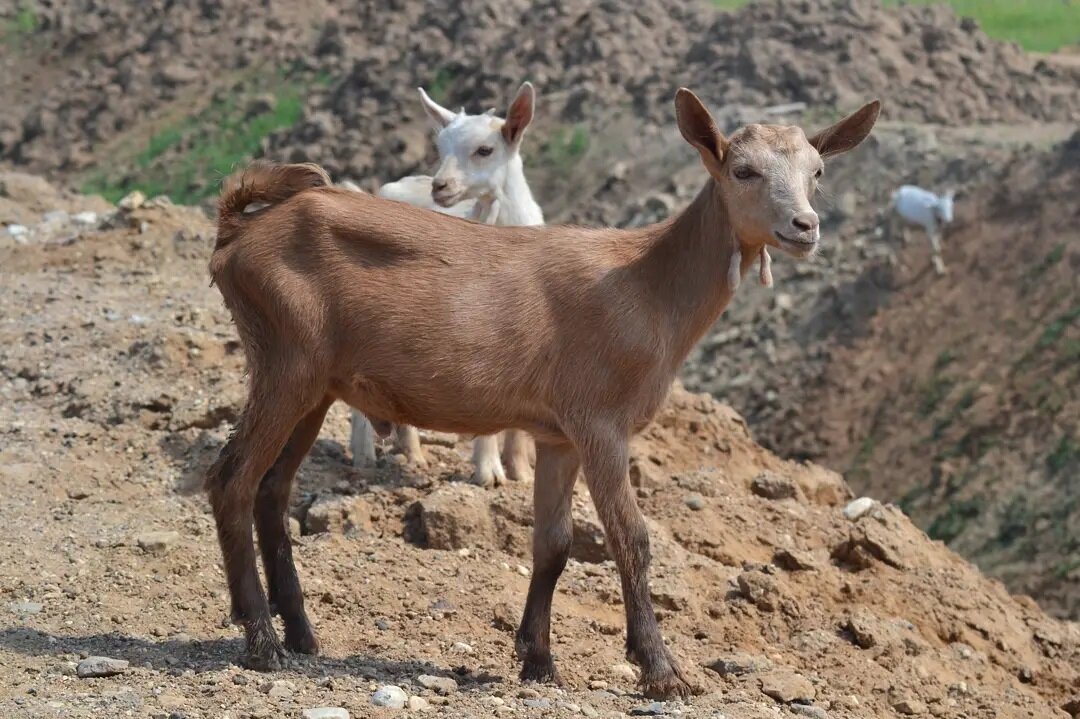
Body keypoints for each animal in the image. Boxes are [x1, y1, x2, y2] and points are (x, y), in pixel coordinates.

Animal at [349, 82, 544, 487]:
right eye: (439, 148)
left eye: (485, 149)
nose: (440, 186)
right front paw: (489, 473)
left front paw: (520, 472)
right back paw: (364, 456)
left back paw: (413, 454)